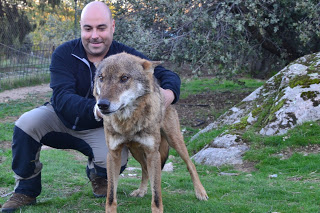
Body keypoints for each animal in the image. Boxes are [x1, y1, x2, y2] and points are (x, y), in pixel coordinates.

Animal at [92, 52, 208, 213]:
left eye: (124, 78)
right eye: (101, 78)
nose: (101, 105)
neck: (128, 122)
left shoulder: (154, 153)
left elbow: (157, 196)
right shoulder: (113, 154)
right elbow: (110, 195)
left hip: (174, 140)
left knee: (190, 164)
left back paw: (200, 192)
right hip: (135, 150)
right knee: (145, 169)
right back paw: (141, 191)